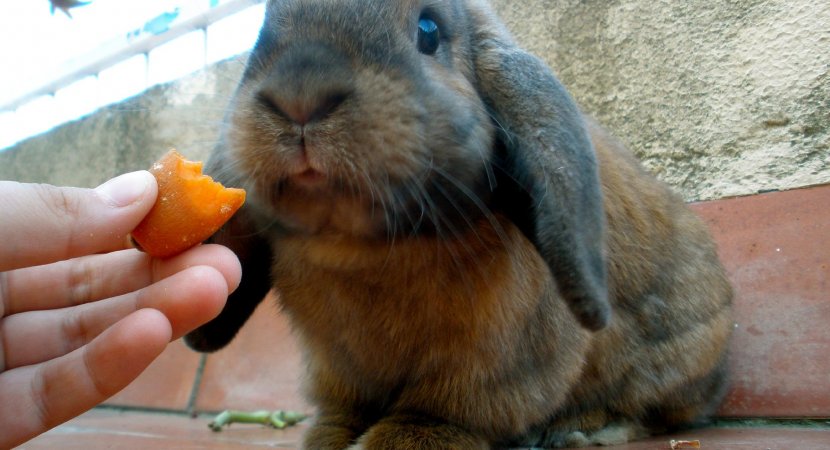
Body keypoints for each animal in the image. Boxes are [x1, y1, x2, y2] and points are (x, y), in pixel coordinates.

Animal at [184, 0, 736, 446]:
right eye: (261, 31)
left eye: (429, 30)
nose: (300, 96)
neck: (361, 250)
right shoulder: (336, 367)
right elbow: (342, 412)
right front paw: (328, 439)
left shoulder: (493, 362)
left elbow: (444, 412)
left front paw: (401, 441)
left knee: (652, 412)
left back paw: (580, 430)